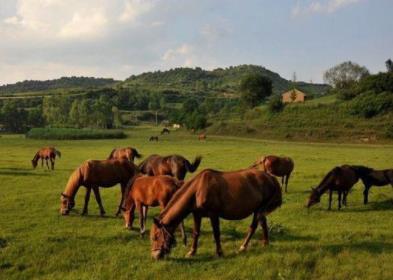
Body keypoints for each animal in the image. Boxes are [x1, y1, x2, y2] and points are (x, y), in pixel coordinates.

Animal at [149, 166, 280, 260]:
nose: (155, 256)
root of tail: (270, 177)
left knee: (254, 226)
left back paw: (244, 246)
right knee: (262, 223)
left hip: (259, 208)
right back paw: (265, 243)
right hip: (258, 209)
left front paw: (219, 253)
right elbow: (196, 233)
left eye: (156, 236)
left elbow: (216, 234)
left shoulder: (213, 214)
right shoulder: (197, 214)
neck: (198, 189)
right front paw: (192, 252)